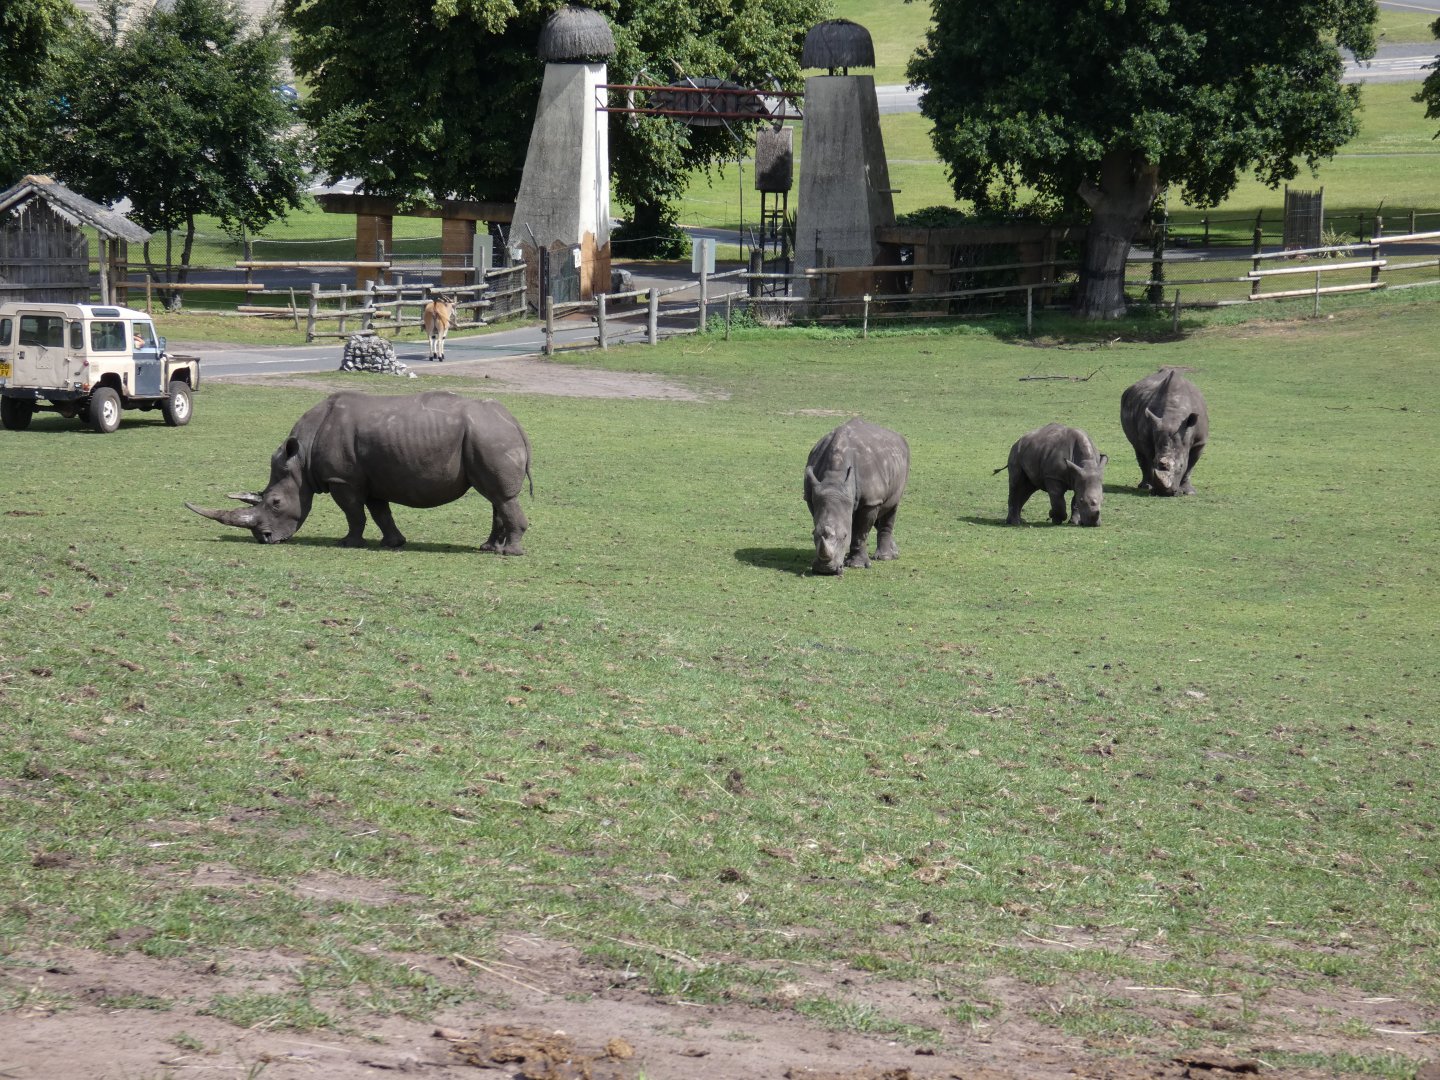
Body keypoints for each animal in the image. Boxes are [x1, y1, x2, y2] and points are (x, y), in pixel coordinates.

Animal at [187, 391, 531, 552]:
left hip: (489, 437)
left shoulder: (343, 479)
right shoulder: (372, 478)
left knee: (500, 496)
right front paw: (393, 543)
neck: (301, 457)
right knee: (495, 497)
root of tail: (514, 421)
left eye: (275, 503)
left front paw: (348, 543)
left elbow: (354, 513)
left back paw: (509, 553)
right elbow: (380, 512)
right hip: (487, 436)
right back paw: (489, 548)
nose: (265, 539)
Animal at [804, 418, 910, 575]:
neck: (834, 479)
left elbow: (860, 532)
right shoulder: (813, 496)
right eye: (813, 534)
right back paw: (895, 552)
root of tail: (899, 437)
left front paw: (857, 565)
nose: (825, 570)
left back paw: (885, 557)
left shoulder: (870, 502)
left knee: (892, 506)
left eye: (844, 536)